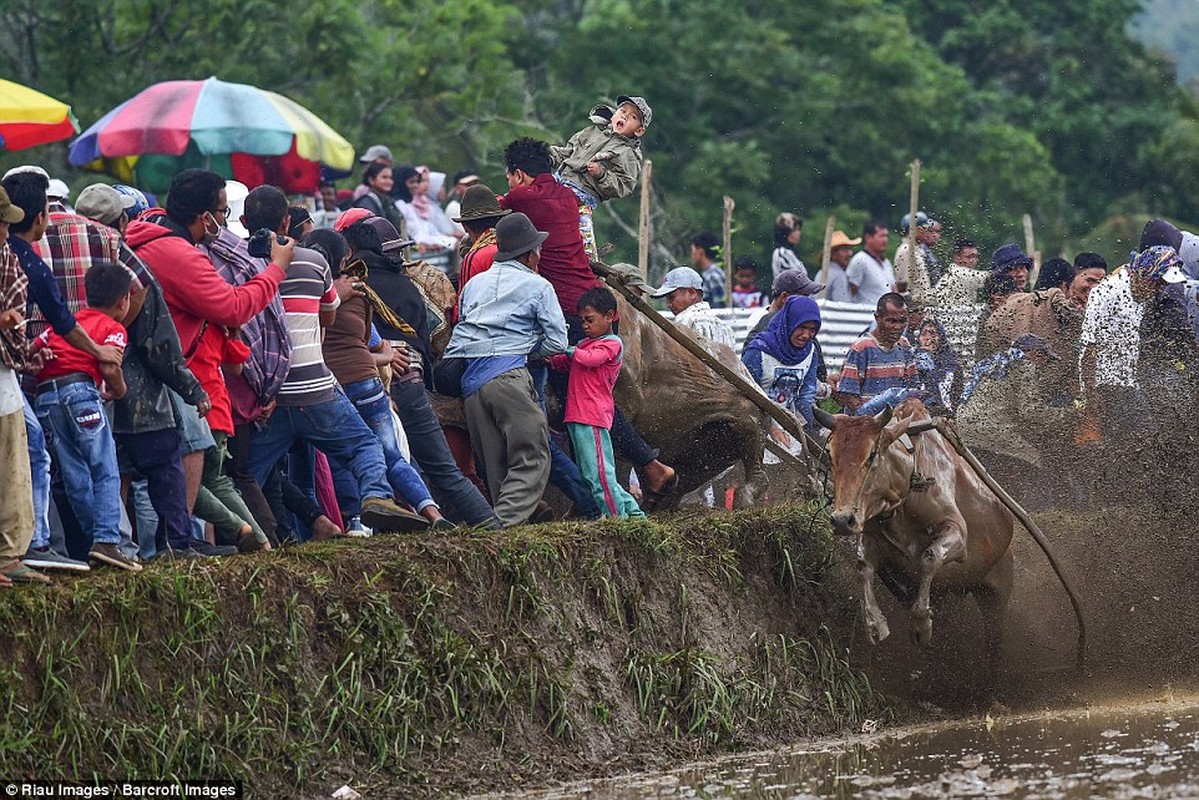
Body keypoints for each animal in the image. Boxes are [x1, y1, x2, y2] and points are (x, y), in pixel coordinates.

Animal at [815, 400, 1011, 657]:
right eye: (830, 454)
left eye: (872, 454)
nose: (841, 520)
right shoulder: (870, 538)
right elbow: (864, 567)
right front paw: (875, 624)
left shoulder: (957, 530)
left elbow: (930, 557)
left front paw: (921, 626)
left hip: (996, 596)